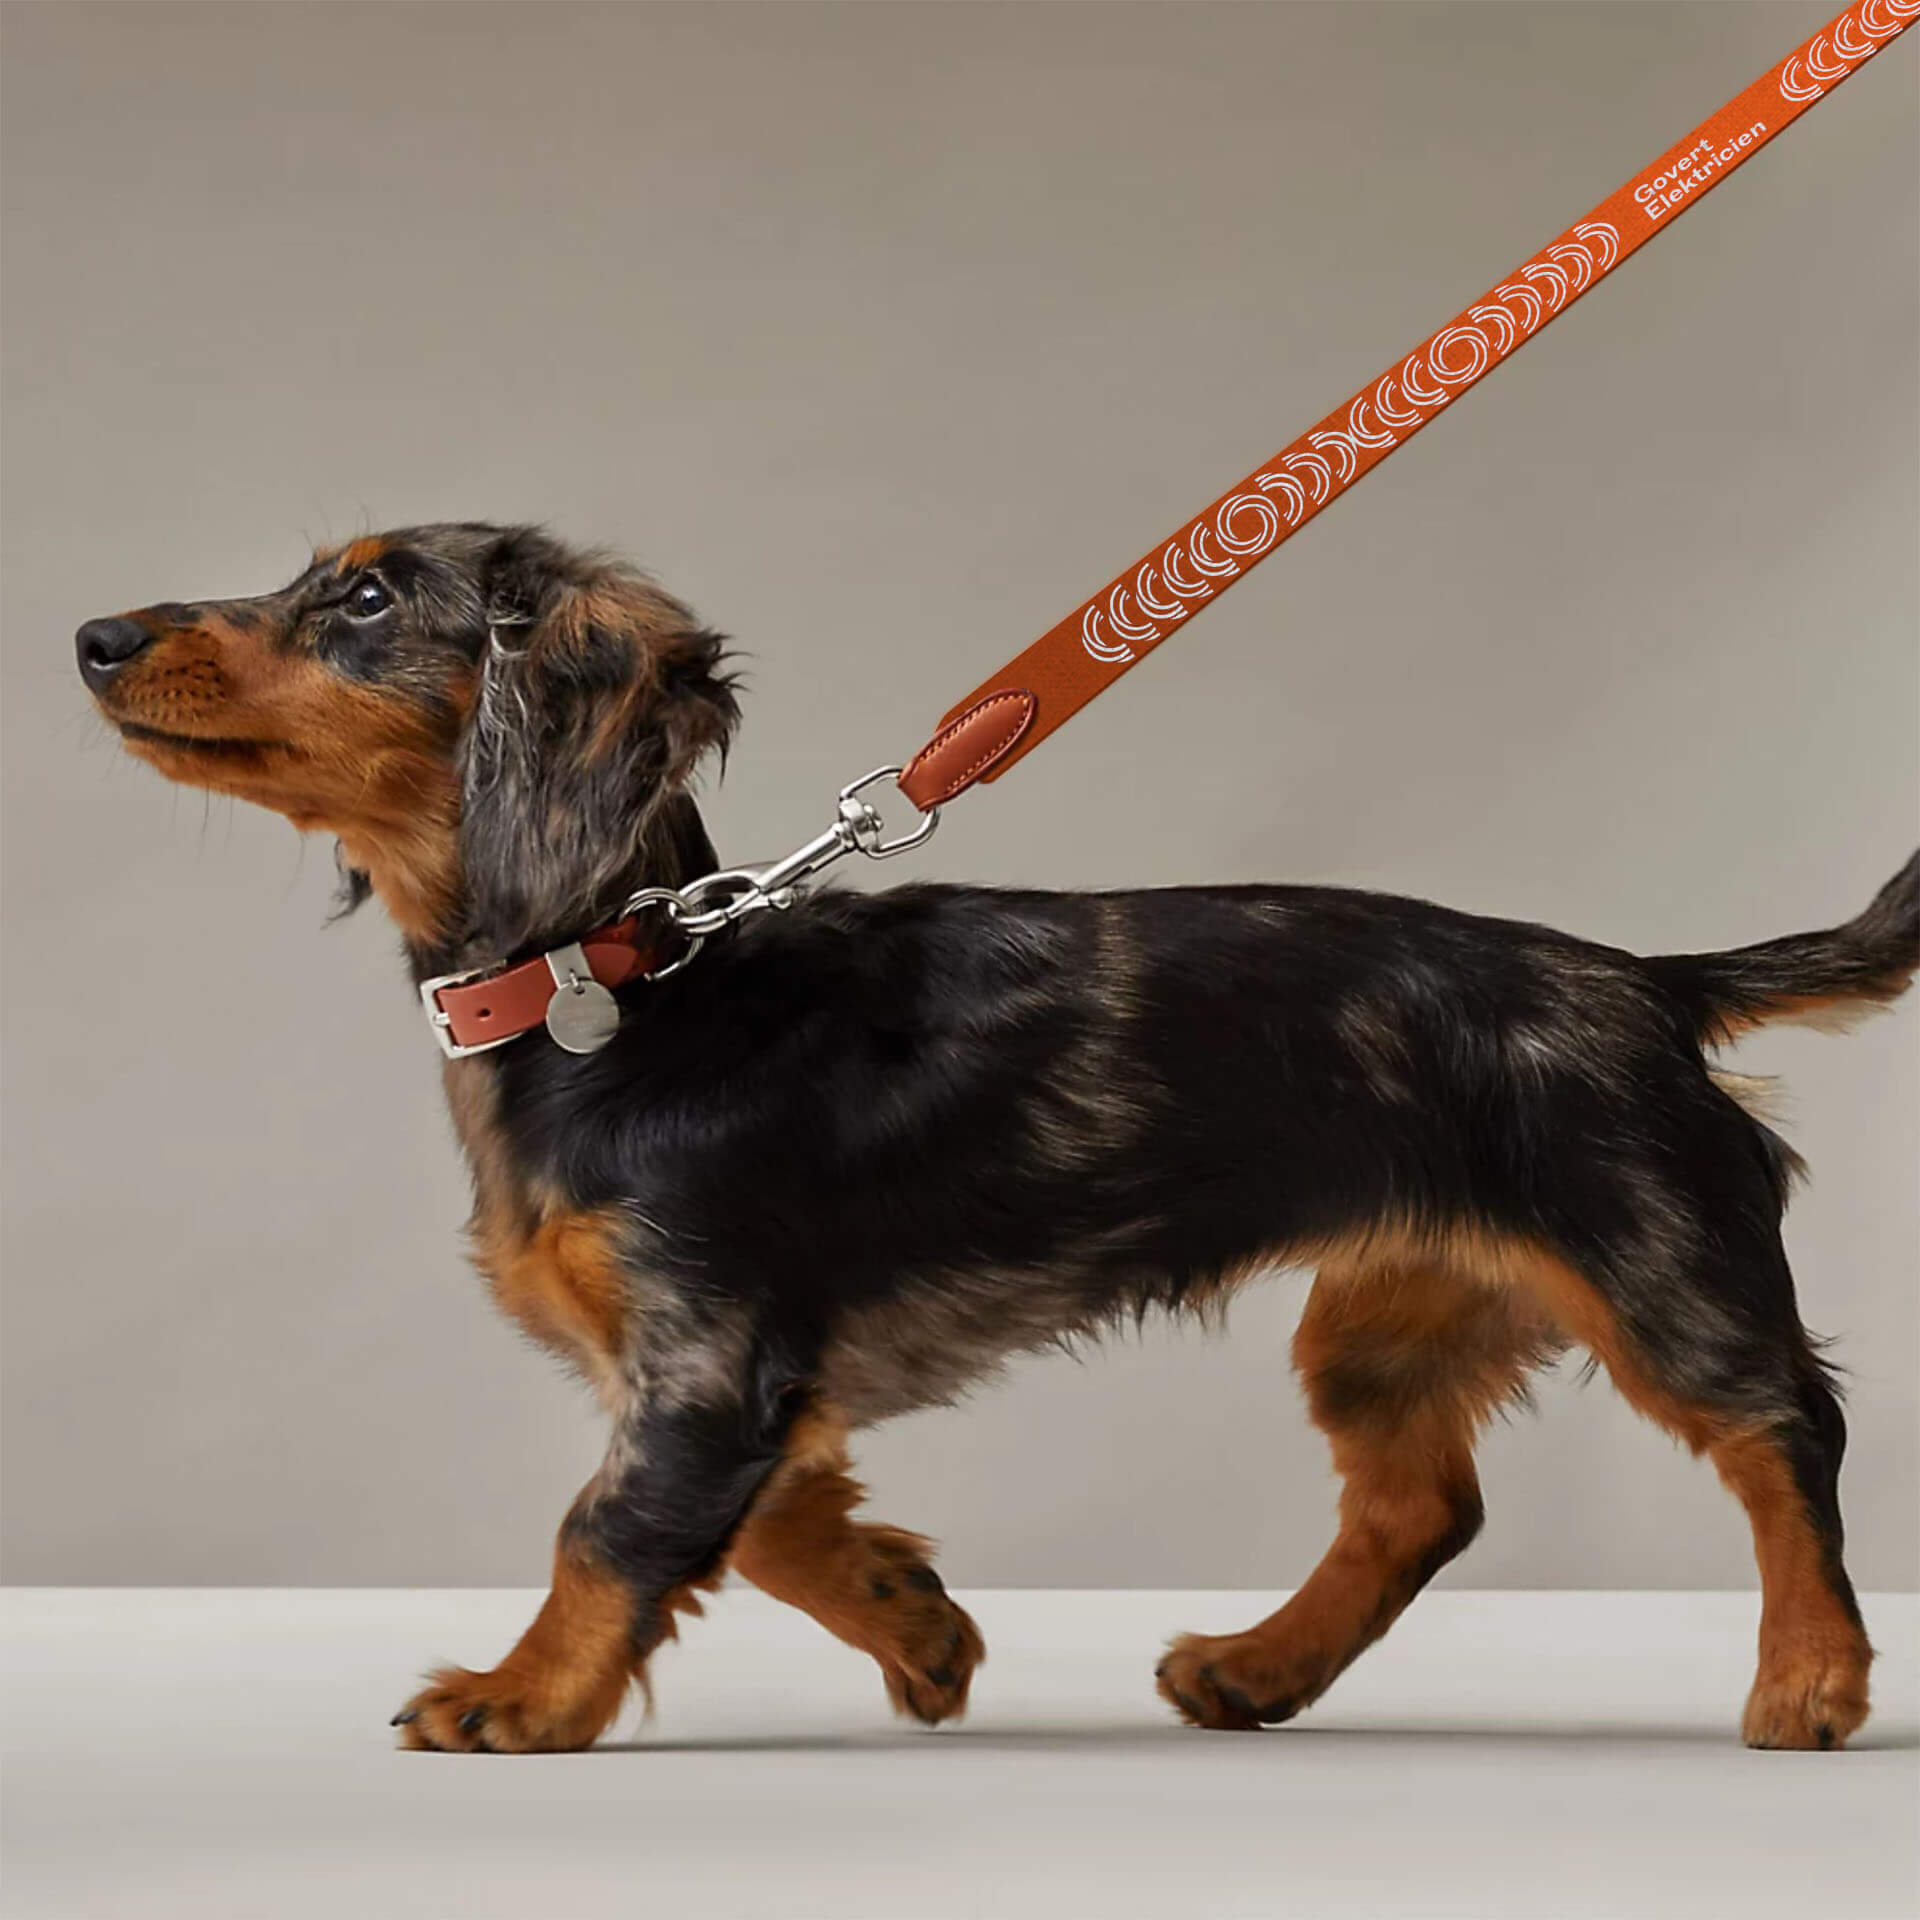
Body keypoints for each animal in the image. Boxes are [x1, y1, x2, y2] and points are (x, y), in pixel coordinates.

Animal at [77, 523, 1916, 1753]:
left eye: (368, 597)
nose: (92, 631)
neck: (625, 980)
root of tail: (1652, 983)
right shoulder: (754, 1373)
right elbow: (772, 1523)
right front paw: (918, 1624)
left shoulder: (709, 1349)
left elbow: (608, 1525)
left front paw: (518, 1698)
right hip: (1383, 1322)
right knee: (1418, 1510)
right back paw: (1257, 1668)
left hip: (1657, 1264)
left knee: (1786, 1437)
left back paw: (1810, 1678)